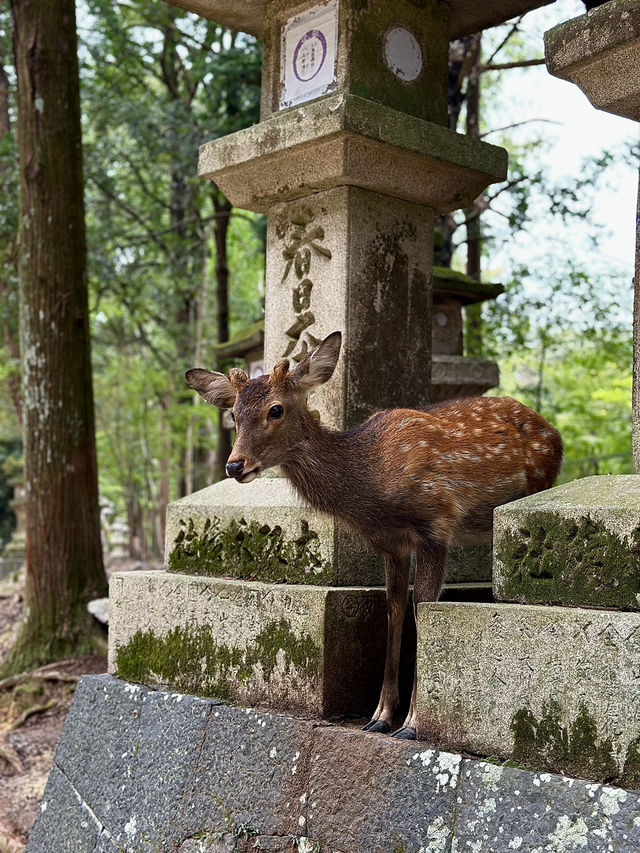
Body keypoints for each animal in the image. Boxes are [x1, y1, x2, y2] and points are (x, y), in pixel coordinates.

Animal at [188, 332, 564, 740]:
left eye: (275, 410)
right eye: (234, 414)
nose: (234, 465)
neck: (370, 484)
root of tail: (555, 434)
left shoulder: (437, 521)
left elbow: (422, 607)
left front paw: (412, 724)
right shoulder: (389, 543)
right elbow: (393, 608)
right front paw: (380, 715)